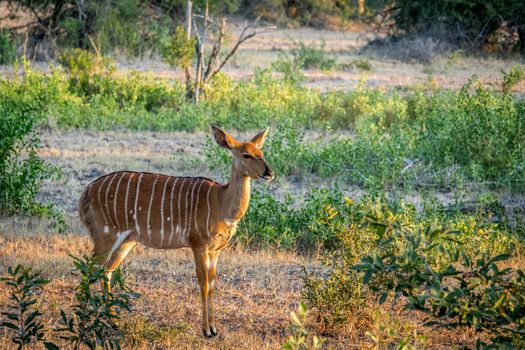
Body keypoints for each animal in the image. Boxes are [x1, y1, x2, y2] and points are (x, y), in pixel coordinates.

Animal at [79, 126, 274, 336]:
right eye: (247, 155)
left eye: (261, 153)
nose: (269, 172)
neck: (221, 203)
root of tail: (86, 193)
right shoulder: (198, 245)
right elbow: (204, 284)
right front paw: (206, 331)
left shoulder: (215, 251)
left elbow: (213, 285)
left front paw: (214, 329)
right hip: (104, 235)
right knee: (89, 271)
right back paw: (82, 322)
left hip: (126, 241)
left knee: (106, 271)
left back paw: (113, 321)